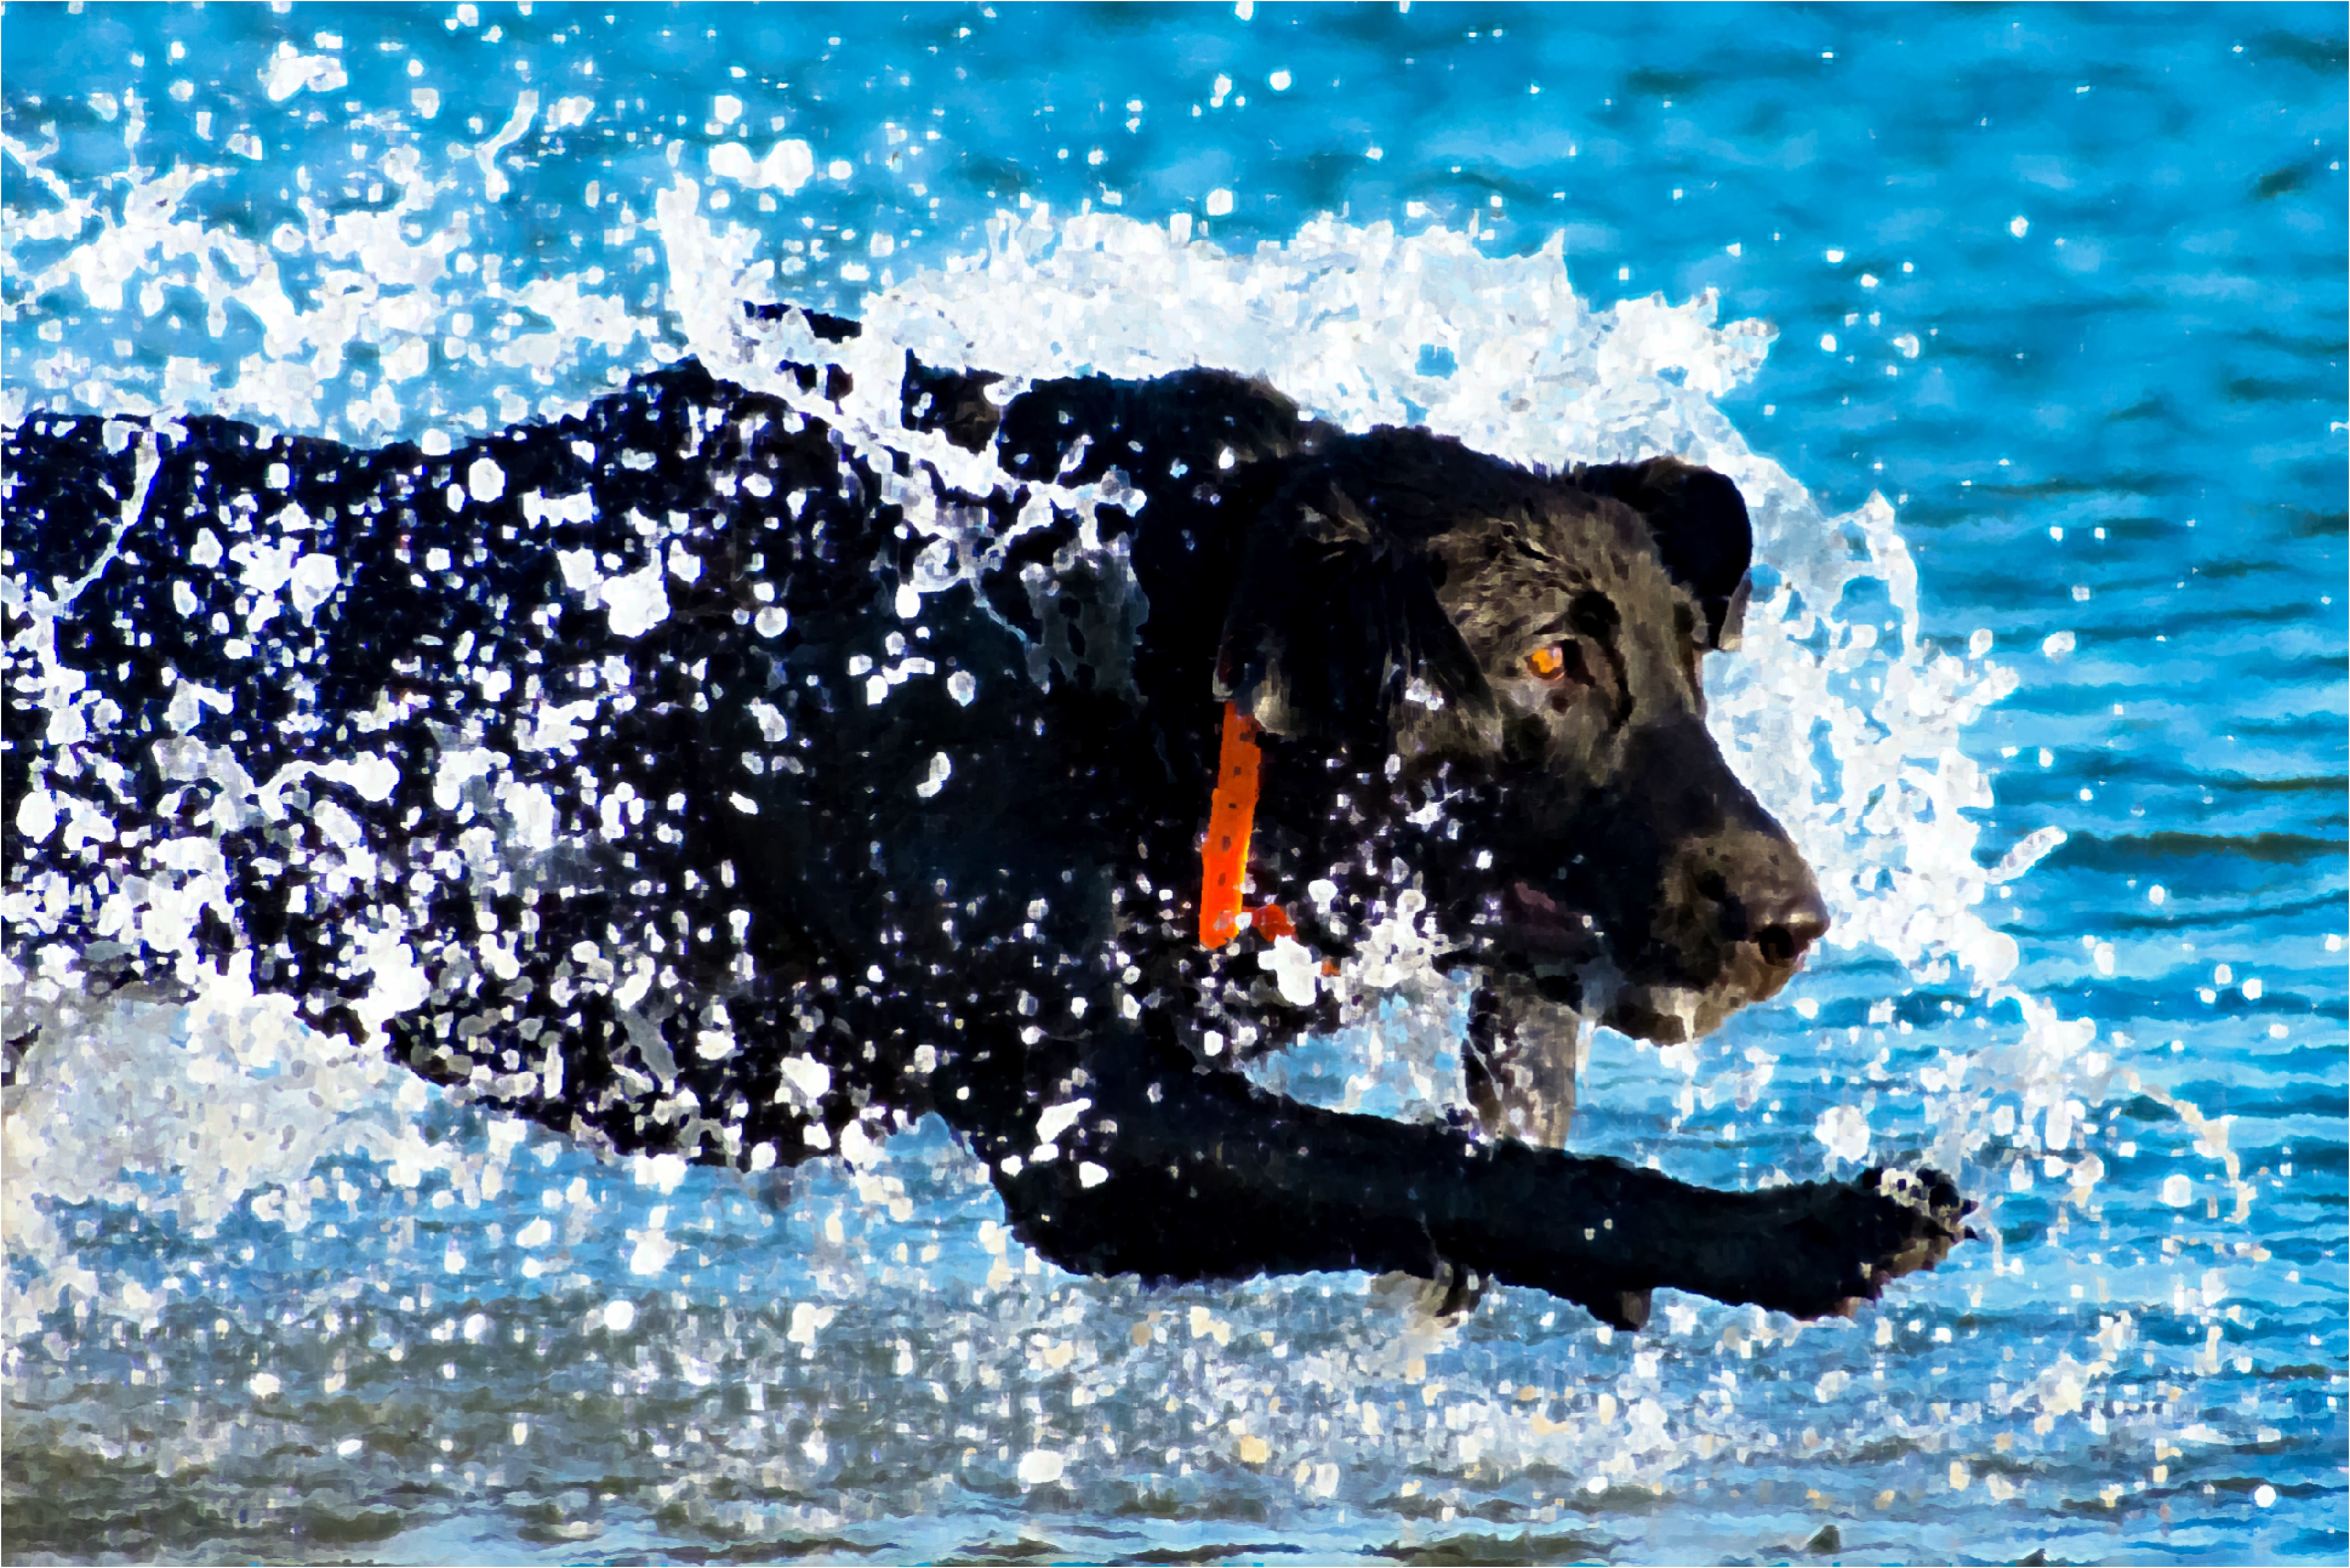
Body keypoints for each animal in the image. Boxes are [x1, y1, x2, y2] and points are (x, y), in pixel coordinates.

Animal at [5, 310, 1964, 1335]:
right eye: (1547, 656)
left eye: (1689, 667)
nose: (1788, 917)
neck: (1123, 645)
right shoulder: (1089, 1133)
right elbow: (1492, 1175)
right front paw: (1792, 1228)